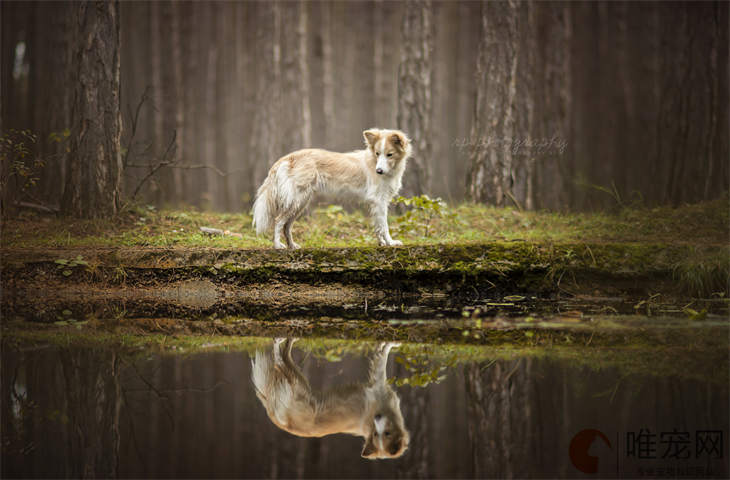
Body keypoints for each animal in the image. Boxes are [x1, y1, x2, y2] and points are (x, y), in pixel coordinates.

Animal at [250, 128, 410, 248]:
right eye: (378, 154)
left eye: (389, 154)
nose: (379, 171)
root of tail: (287, 158)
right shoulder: (379, 201)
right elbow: (384, 226)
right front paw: (390, 242)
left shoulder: (376, 203)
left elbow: (378, 226)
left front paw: (381, 243)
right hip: (296, 200)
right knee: (278, 221)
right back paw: (278, 246)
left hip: (300, 203)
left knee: (286, 226)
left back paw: (292, 246)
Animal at [252, 338, 410, 458]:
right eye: (378, 434)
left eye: (385, 434)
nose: (376, 417)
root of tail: (275, 416)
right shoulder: (378, 383)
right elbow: (384, 355)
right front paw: (392, 344)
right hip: (297, 384)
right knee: (279, 360)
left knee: (282, 356)